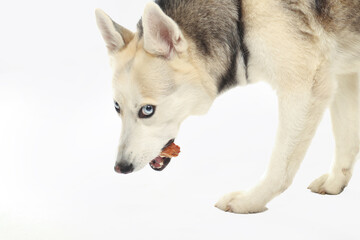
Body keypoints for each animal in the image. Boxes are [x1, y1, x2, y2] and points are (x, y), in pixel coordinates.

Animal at [95, 0, 360, 214]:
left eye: (147, 110)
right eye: (117, 107)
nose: (120, 167)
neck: (239, 13)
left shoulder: (304, 87)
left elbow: (280, 166)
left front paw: (250, 202)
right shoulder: (345, 75)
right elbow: (345, 139)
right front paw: (335, 182)